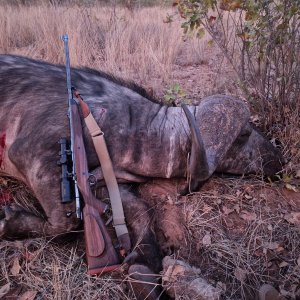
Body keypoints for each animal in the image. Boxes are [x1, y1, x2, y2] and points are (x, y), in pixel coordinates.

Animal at [0, 55, 282, 296]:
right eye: (244, 134)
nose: (278, 159)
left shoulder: (104, 182)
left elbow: (140, 209)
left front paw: (143, 265)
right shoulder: (27, 154)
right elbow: (65, 223)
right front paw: (8, 222)